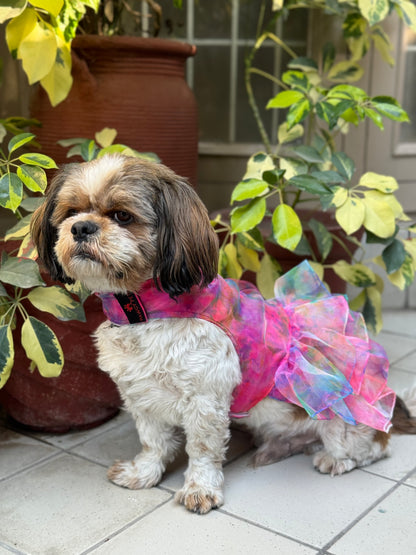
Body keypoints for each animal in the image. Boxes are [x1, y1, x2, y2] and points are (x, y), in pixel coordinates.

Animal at [31, 154, 416, 516]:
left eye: (122, 216)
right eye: (71, 212)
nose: (81, 227)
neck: (147, 311)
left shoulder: (206, 398)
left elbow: (202, 449)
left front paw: (200, 489)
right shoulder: (142, 395)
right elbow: (153, 442)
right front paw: (144, 473)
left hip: (344, 423)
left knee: (374, 449)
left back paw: (335, 458)